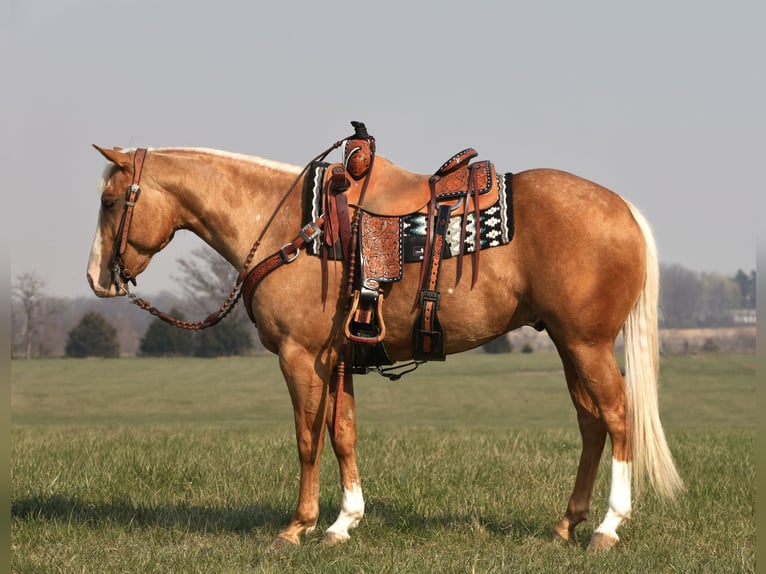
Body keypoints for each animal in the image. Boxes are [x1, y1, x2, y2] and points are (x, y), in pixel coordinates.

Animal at [88, 130, 684, 552]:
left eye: (111, 202)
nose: (97, 278)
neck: (290, 228)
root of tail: (623, 209)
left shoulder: (301, 358)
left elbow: (307, 441)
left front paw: (297, 527)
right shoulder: (337, 360)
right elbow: (343, 434)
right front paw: (342, 523)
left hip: (586, 344)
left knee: (617, 416)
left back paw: (608, 527)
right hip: (568, 346)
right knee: (591, 424)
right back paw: (566, 524)